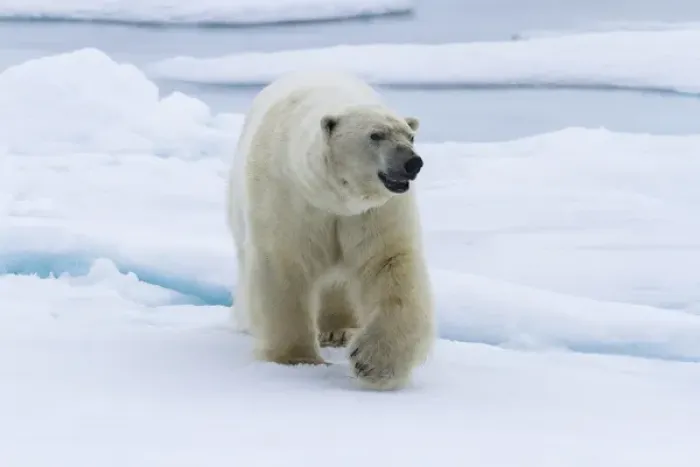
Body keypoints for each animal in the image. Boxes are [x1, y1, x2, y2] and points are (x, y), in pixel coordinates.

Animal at [226, 71, 435, 390]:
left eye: (410, 136)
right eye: (375, 135)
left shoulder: (374, 213)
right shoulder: (289, 198)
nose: (412, 162)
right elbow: (283, 267)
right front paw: (296, 359)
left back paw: (339, 330)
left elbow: (388, 263)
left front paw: (371, 363)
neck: (334, 198)